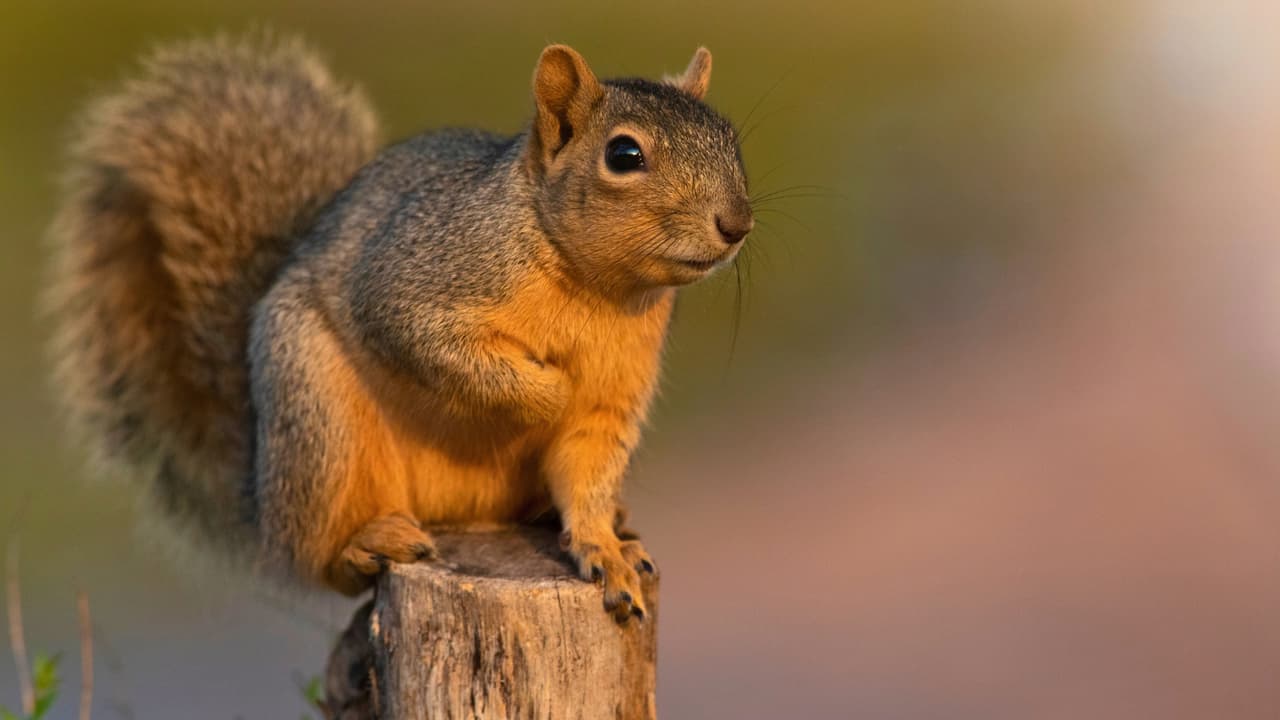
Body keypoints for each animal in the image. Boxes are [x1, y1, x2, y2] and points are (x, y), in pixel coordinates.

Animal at [46, 32, 752, 623]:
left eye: (731, 138)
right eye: (624, 154)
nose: (737, 223)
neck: (593, 285)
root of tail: (260, 497)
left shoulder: (614, 395)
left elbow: (588, 470)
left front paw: (605, 551)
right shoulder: (409, 285)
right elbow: (435, 347)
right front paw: (545, 395)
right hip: (318, 417)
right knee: (313, 559)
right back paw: (363, 545)